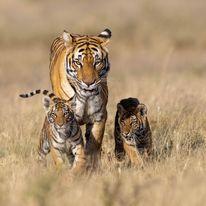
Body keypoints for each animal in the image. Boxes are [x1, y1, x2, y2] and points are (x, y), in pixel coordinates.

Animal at [49, 28, 112, 167]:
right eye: (78, 63)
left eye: (97, 62)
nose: (89, 83)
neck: (85, 96)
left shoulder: (99, 115)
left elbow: (94, 143)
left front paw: (92, 165)